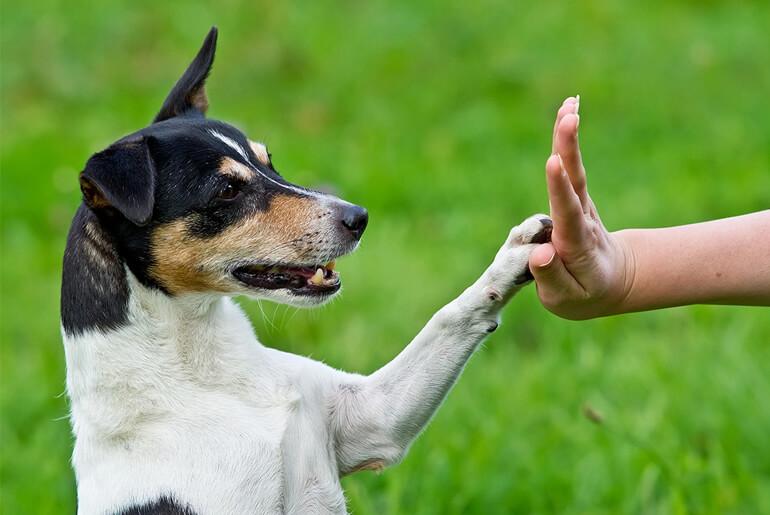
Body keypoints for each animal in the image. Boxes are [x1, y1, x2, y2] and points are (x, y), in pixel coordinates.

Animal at [60, 28, 552, 515]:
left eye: (269, 162)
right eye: (226, 190)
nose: (358, 217)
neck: (205, 371)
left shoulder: (372, 418)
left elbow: (449, 317)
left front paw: (516, 256)